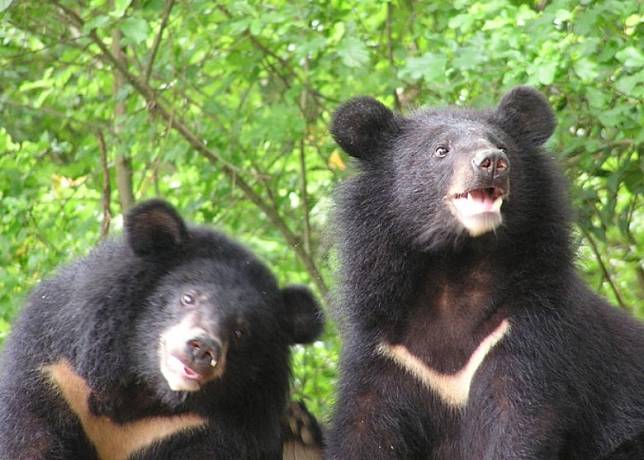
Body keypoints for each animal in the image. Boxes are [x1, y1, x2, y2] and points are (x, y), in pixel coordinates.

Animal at [0, 199, 322, 458]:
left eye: (241, 332)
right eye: (188, 297)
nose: (202, 349)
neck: (144, 392)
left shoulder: (197, 429)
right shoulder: (57, 377)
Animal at [328, 87, 644, 460]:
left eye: (502, 146)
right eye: (441, 149)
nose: (492, 162)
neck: (454, 270)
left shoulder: (526, 336)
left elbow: (519, 422)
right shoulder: (386, 351)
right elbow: (366, 427)